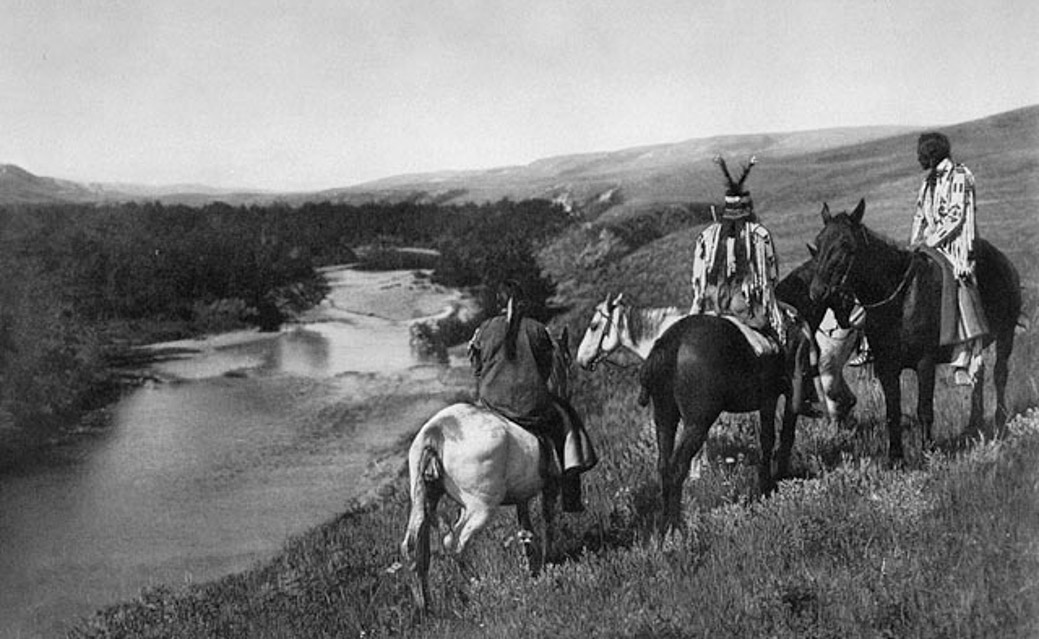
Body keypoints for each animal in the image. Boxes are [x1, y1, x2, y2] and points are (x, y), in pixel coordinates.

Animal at [806, 197, 1018, 463]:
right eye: (818, 242)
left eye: (845, 244)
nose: (817, 291)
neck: (901, 299)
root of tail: (1003, 260)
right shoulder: (886, 367)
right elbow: (892, 412)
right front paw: (895, 458)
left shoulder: (924, 363)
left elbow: (924, 409)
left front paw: (928, 452)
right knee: (977, 376)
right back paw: (973, 425)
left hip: (1006, 334)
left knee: (1000, 374)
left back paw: (1000, 421)